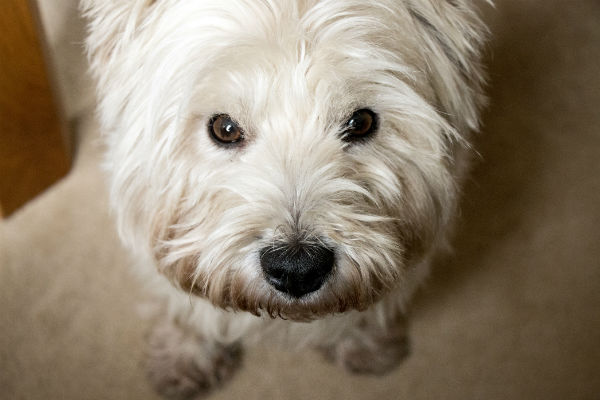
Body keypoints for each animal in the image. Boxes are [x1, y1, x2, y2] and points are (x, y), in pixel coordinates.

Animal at [83, 1, 488, 398]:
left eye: (361, 122)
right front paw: (184, 356)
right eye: (224, 128)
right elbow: (181, 306)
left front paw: (366, 344)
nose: (297, 269)